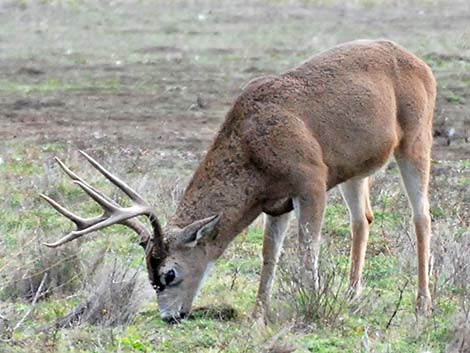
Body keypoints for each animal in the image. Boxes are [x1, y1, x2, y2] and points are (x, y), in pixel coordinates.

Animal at [42, 39, 436, 322]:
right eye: (150, 274)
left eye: (169, 273)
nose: (170, 317)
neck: (251, 146)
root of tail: (420, 63)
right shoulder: (277, 202)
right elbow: (269, 254)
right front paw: (259, 313)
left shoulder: (311, 181)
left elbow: (308, 248)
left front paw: (313, 304)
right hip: (355, 169)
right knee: (362, 219)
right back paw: (354, 295)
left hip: (416, 139)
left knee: (421, 216)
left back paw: (422, 303)